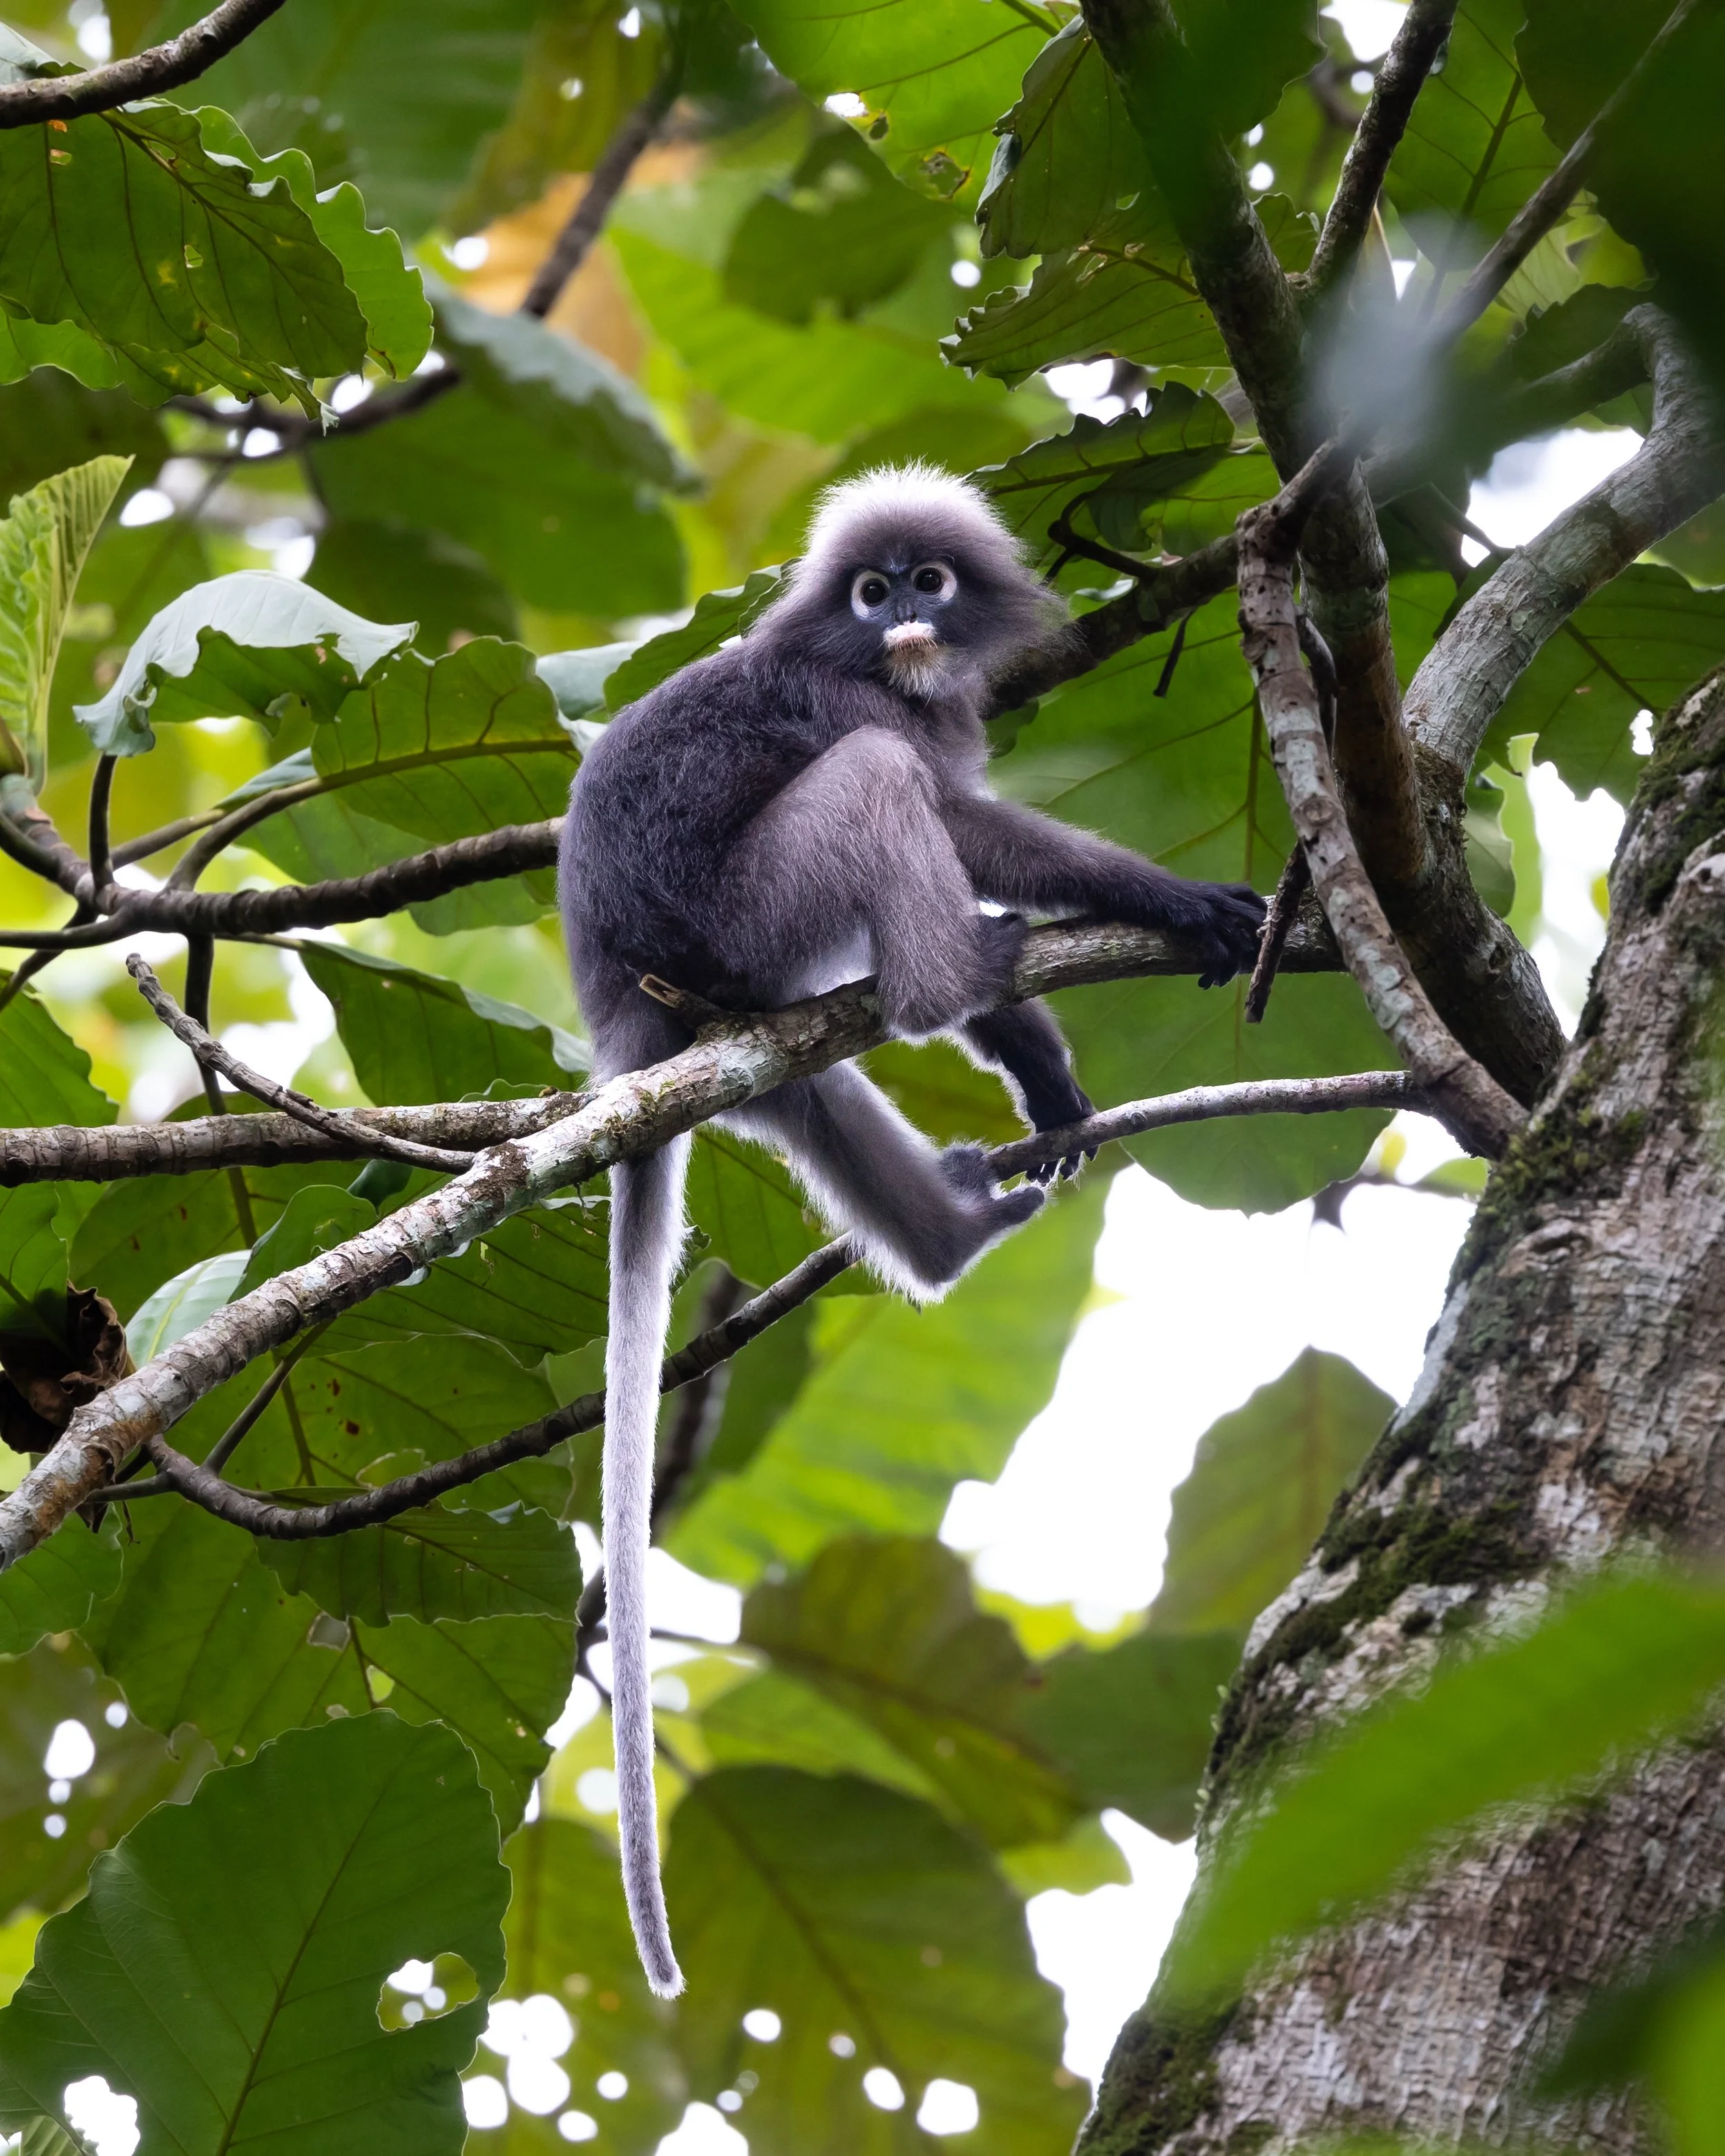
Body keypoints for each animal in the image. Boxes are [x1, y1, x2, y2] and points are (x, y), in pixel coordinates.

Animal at [558, 464, 1265, 1995]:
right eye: (872, 591)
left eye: (926, 583)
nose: (902, 621)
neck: (883, 669)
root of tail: (619, 1008)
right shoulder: (856, 706)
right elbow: (962, 818)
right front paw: (1178, 902)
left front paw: (1044, 1071)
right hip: (747, 916)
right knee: (886, 800)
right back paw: (956, 973)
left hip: (745, 1020)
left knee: (812, 1093)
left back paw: (949, 1237)